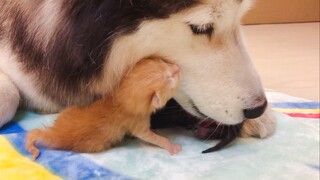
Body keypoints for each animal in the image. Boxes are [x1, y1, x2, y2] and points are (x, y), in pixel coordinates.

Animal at [25, 58, 180, 159]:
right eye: (169, 78)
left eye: (163, 62)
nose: (178, 68)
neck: (121, 98)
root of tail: (55, 132)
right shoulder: (137, 123)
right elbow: (148, 136)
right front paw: (170, 145)